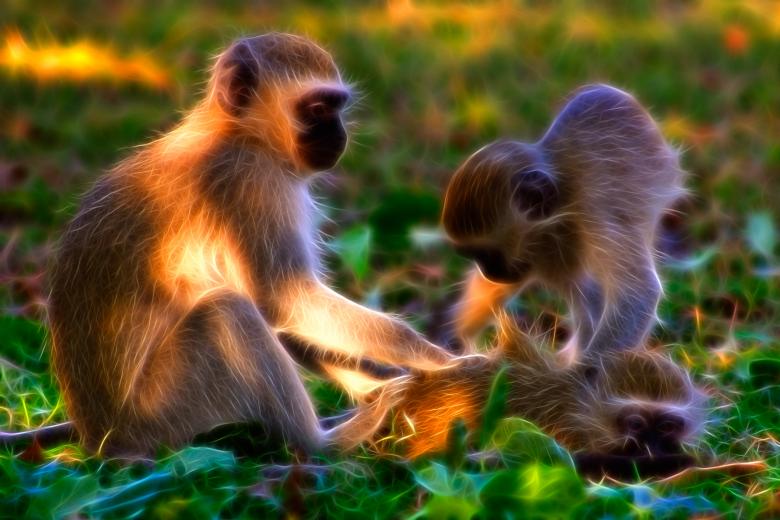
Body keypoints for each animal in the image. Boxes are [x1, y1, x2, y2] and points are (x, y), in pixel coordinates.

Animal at [8, 33, 455, 458]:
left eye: (338, 107)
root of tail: (101, 435)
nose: (338, 134)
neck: (236, 132)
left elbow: (281, 313)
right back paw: (320, 443)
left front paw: (386, 381)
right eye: (317, 109)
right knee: (228, 311)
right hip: (163, 412)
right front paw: (438, 359)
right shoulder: (252, 184)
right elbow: (283, 299)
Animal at [441, 84, 686, 361]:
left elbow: (639, 292)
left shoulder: (595, 218)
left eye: (487, 255)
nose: (488, 272)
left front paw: (581, 371)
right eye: (475, 256)